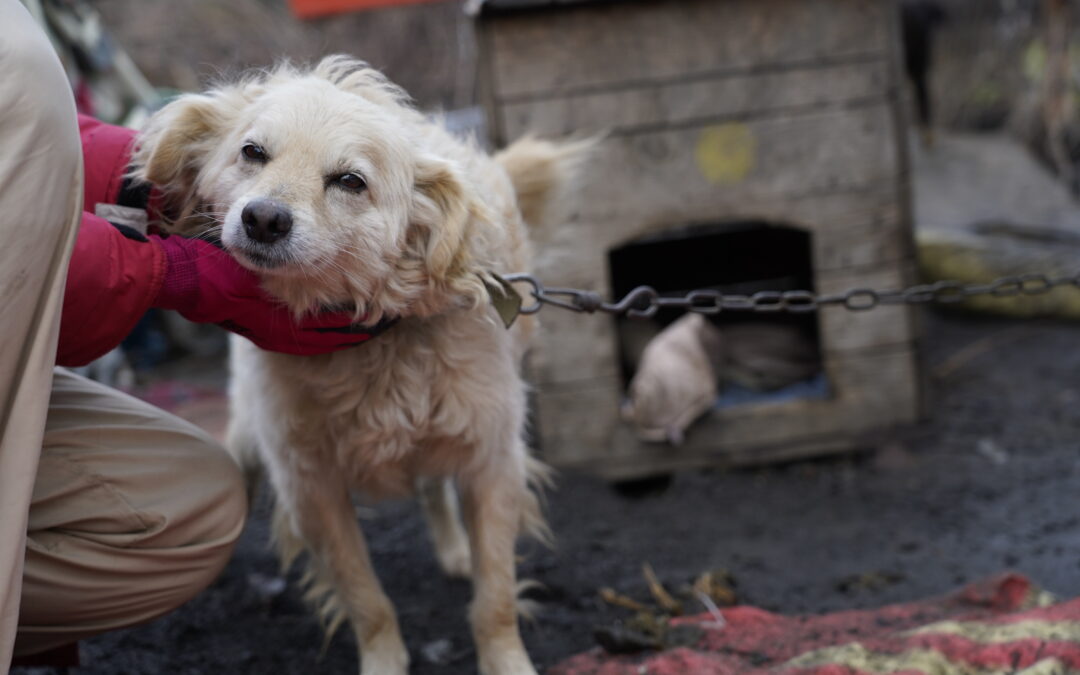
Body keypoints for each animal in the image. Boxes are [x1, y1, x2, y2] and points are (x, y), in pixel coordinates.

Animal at [132, 56, 591, 673]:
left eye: (350, 181)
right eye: (252, 152)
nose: (263, 219)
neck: (373, 337)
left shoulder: (492, 462)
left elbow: (495, 596)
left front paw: (506, 660)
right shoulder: (311, 488)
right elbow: (366, 599)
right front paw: (384, 660)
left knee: (433, 489)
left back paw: (455, 550)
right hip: (252, 434)